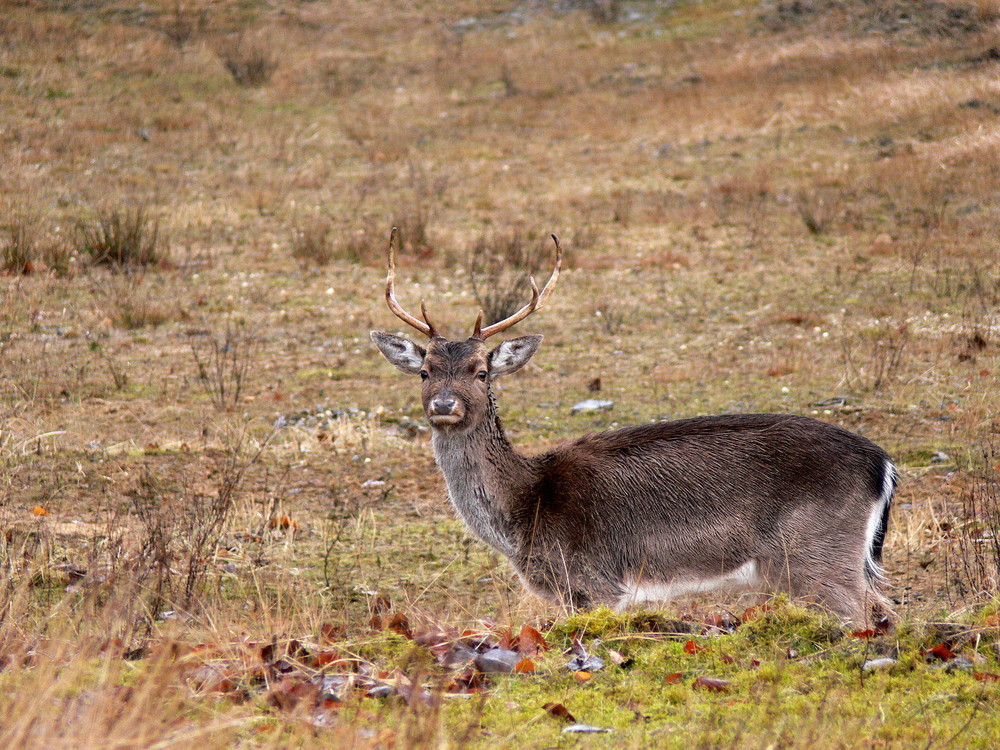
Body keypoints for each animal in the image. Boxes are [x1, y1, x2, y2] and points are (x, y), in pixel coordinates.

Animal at [370, 228, 900, 624]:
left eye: (481, 371)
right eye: (424, 371)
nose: (443, 404)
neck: (524, 510)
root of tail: (884, 466)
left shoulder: (596, 582)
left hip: (817, 554)